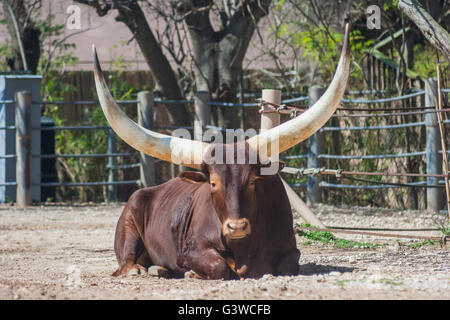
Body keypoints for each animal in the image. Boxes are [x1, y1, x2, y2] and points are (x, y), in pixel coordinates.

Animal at [92, 23, 352, 278]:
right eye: (213, 183)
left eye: (253, 181)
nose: (236, 226)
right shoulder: (191, 250)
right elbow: (218, 266)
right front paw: (194, 273)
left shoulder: (290, 249)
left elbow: (288, 264)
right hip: (129, 222)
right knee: (125, 261)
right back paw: (140, 269)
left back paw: (159, 268)